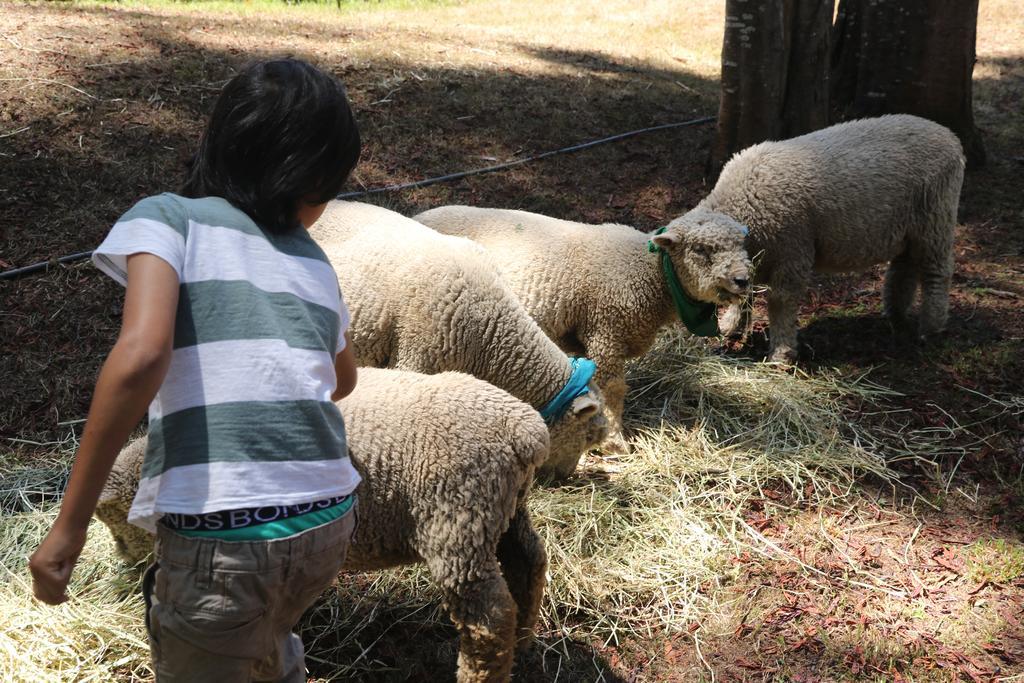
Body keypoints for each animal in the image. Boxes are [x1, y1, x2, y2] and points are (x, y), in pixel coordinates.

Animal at [96, 368, 552, 683]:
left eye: (118, 521)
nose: (123, 559)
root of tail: (524, 430)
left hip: (457, 522)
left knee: (489, 617)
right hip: (503, 510)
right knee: (528, 561)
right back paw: (526, 643)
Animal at [413, 205, 753, 446]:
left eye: (741, 244)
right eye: (701, 249)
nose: (743, 280)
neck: (648, 272)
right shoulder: (606, 332)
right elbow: (612, 388)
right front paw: (616, 441)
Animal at [671, 114, 966, 366]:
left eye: (700, 251)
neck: (743, 201)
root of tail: (950, 136)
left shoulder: (792, 253)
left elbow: (781, 302)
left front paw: (781, 353)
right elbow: (744, 295)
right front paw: (731, 327)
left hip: (936, 218)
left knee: (936, 272)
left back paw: (931, 327)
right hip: (910, 229)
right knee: (905, 268)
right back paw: (895, 314)